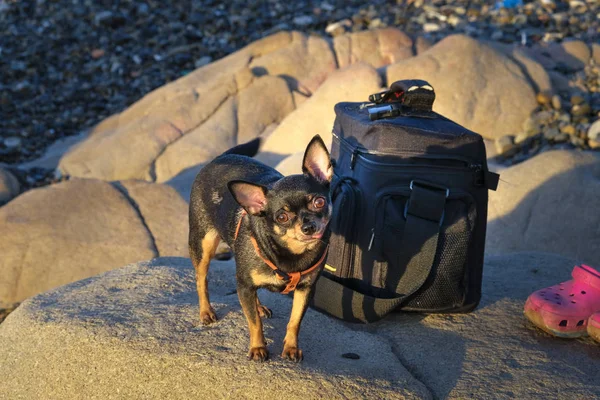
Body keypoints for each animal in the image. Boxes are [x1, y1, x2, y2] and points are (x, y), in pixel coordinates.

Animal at [189, 134, 332, 362]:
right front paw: (258, 348)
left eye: (319, 202)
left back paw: (258, 307)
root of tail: (221, 157)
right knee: (201, 279)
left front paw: (291, 348)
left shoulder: (306, 289)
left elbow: (294, 321)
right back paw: (206, 312)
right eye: (282, 217)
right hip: (204, 244)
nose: (308, 226)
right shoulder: (244, 284)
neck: (291, 254)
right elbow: (254, 323)